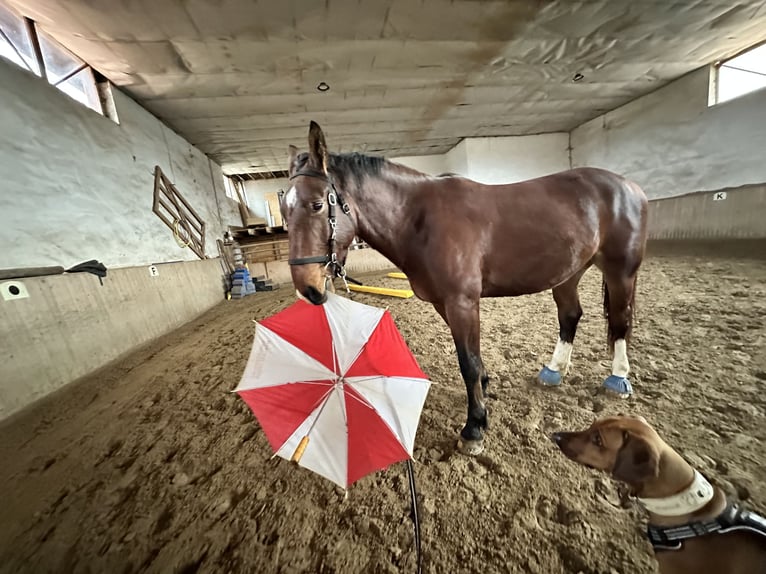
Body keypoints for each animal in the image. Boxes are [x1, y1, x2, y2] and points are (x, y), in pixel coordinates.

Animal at [282, 122, 648, 460]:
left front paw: (474, 427)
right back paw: (554, 370)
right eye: (284, 210)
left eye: (317, 205)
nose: (307, 289)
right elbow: (473, 357)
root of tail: (629, 187)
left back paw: (618, 378)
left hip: (621, 272)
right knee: (570, 315)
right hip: (568, 273)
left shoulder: (462, 302)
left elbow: (467, 363)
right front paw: (484, 389)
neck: (420, 220)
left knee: (620, 319)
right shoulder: (445, 303)